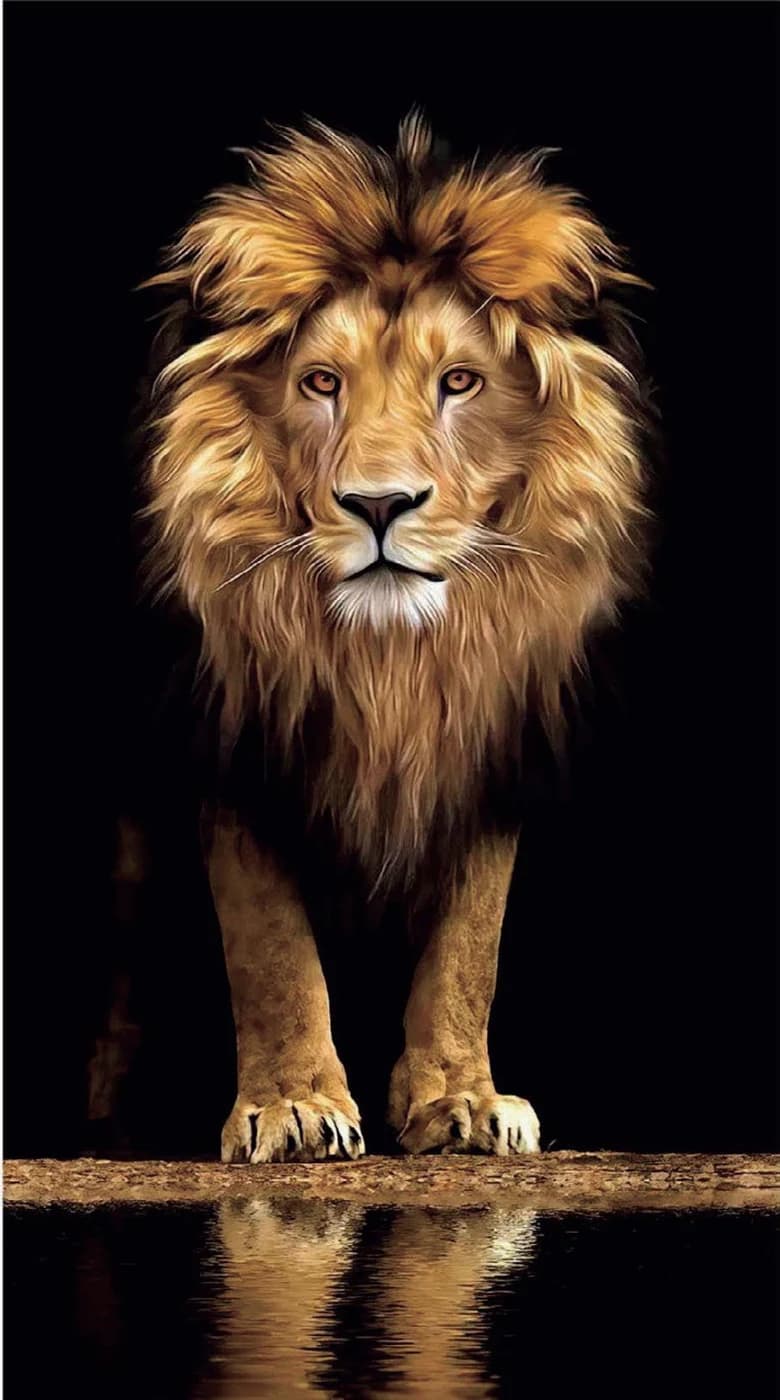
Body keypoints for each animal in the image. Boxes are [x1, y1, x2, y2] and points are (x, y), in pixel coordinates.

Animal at [138, 112, 650, 1163]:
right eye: (320, 382)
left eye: (460, 381)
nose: (380, 505)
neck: (392, 664)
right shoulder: (232, 741)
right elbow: (267, 940)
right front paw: (293, 1106)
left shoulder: (493, 743)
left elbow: (470, 943)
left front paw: (461, 1101)